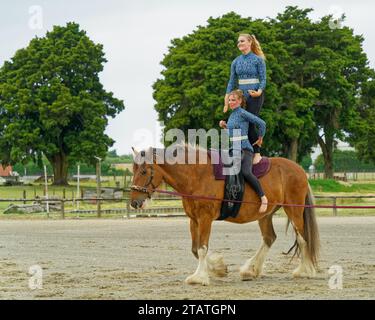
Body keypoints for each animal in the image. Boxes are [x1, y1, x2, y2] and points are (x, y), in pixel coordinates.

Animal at [130, 143, 320, 284]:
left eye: (144, 171)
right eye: (133, 171)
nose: (134, 202)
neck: (197, 175)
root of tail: (301, 171)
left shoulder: (205, 219)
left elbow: (202, 248)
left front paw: (199, 277)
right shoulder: (194, 220)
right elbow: (195, 249)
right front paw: (218, 269)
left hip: (294, 210)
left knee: (303, 239)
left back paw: (305, 271)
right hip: (265, 214)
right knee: (269, 238)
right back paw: (251, 270)